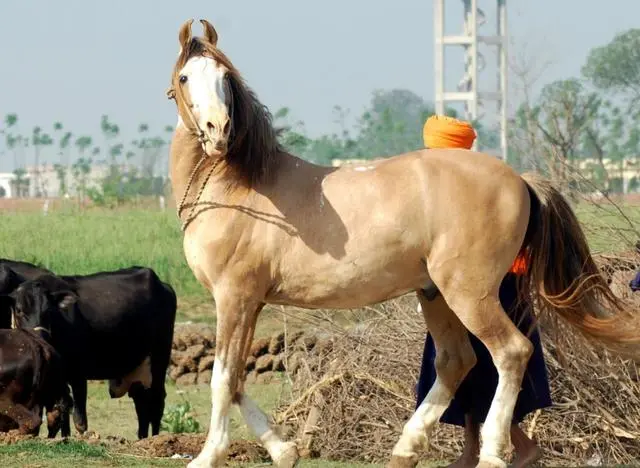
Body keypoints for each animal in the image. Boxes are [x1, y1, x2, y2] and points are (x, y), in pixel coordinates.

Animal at [0, 266, 178, 440]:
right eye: (19, 310)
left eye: (48, 311)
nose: (40, 335)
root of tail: (163, 285)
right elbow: (61, 408)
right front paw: (64, 437)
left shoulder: (78, 373)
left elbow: (79, 418)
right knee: (142, 401)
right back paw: (142, 438)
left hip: (159, 358)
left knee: (157, 400)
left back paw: (155, 438)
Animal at [165, 18, 640, 468]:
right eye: (186, 77)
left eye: (224, 77)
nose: (218, 130)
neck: (240, 187)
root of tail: (518, 179)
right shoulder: (251, 303)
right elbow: (238, 380)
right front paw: (284, 451)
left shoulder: (234, 298)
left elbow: (223, 379)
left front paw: (208, 455)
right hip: (435, 295)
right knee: (456, 361)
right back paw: (407, 448)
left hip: (469, 294)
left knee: (510, 352)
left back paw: (489, 453)